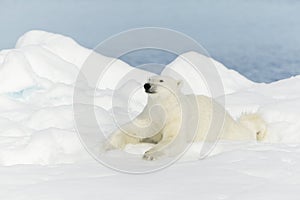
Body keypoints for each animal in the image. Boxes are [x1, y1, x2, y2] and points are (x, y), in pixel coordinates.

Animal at [105, 76, 268, 160]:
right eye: (149, 78)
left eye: (161, 80)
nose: (147, 85)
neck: (164, 108)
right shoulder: (151, 117)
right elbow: (135, 130)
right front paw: (108, 146)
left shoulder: (177, 118)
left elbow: (173, 140)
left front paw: (150, 153)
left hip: (221, 129)